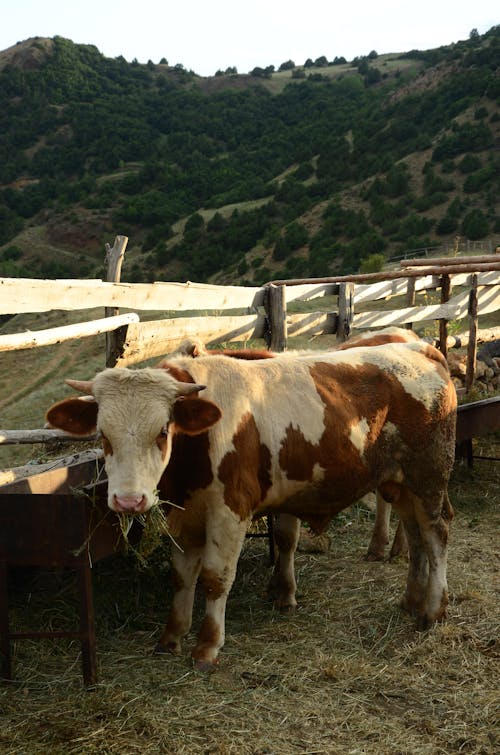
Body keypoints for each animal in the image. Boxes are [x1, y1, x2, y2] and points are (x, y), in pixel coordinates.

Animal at [47, 342, 458, 668]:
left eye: (163, 431)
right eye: (102, 435)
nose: (129, 500)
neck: (198, 447)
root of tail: (420, 348)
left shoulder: (230, 513)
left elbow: (215, 577)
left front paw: (207, 646)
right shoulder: (183, 514)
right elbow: (182, 575)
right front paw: (171, 636)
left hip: (429, 477)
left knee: (436, 535)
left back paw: (433, 609)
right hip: (400, 484)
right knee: (416, 536)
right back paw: (412, 599)